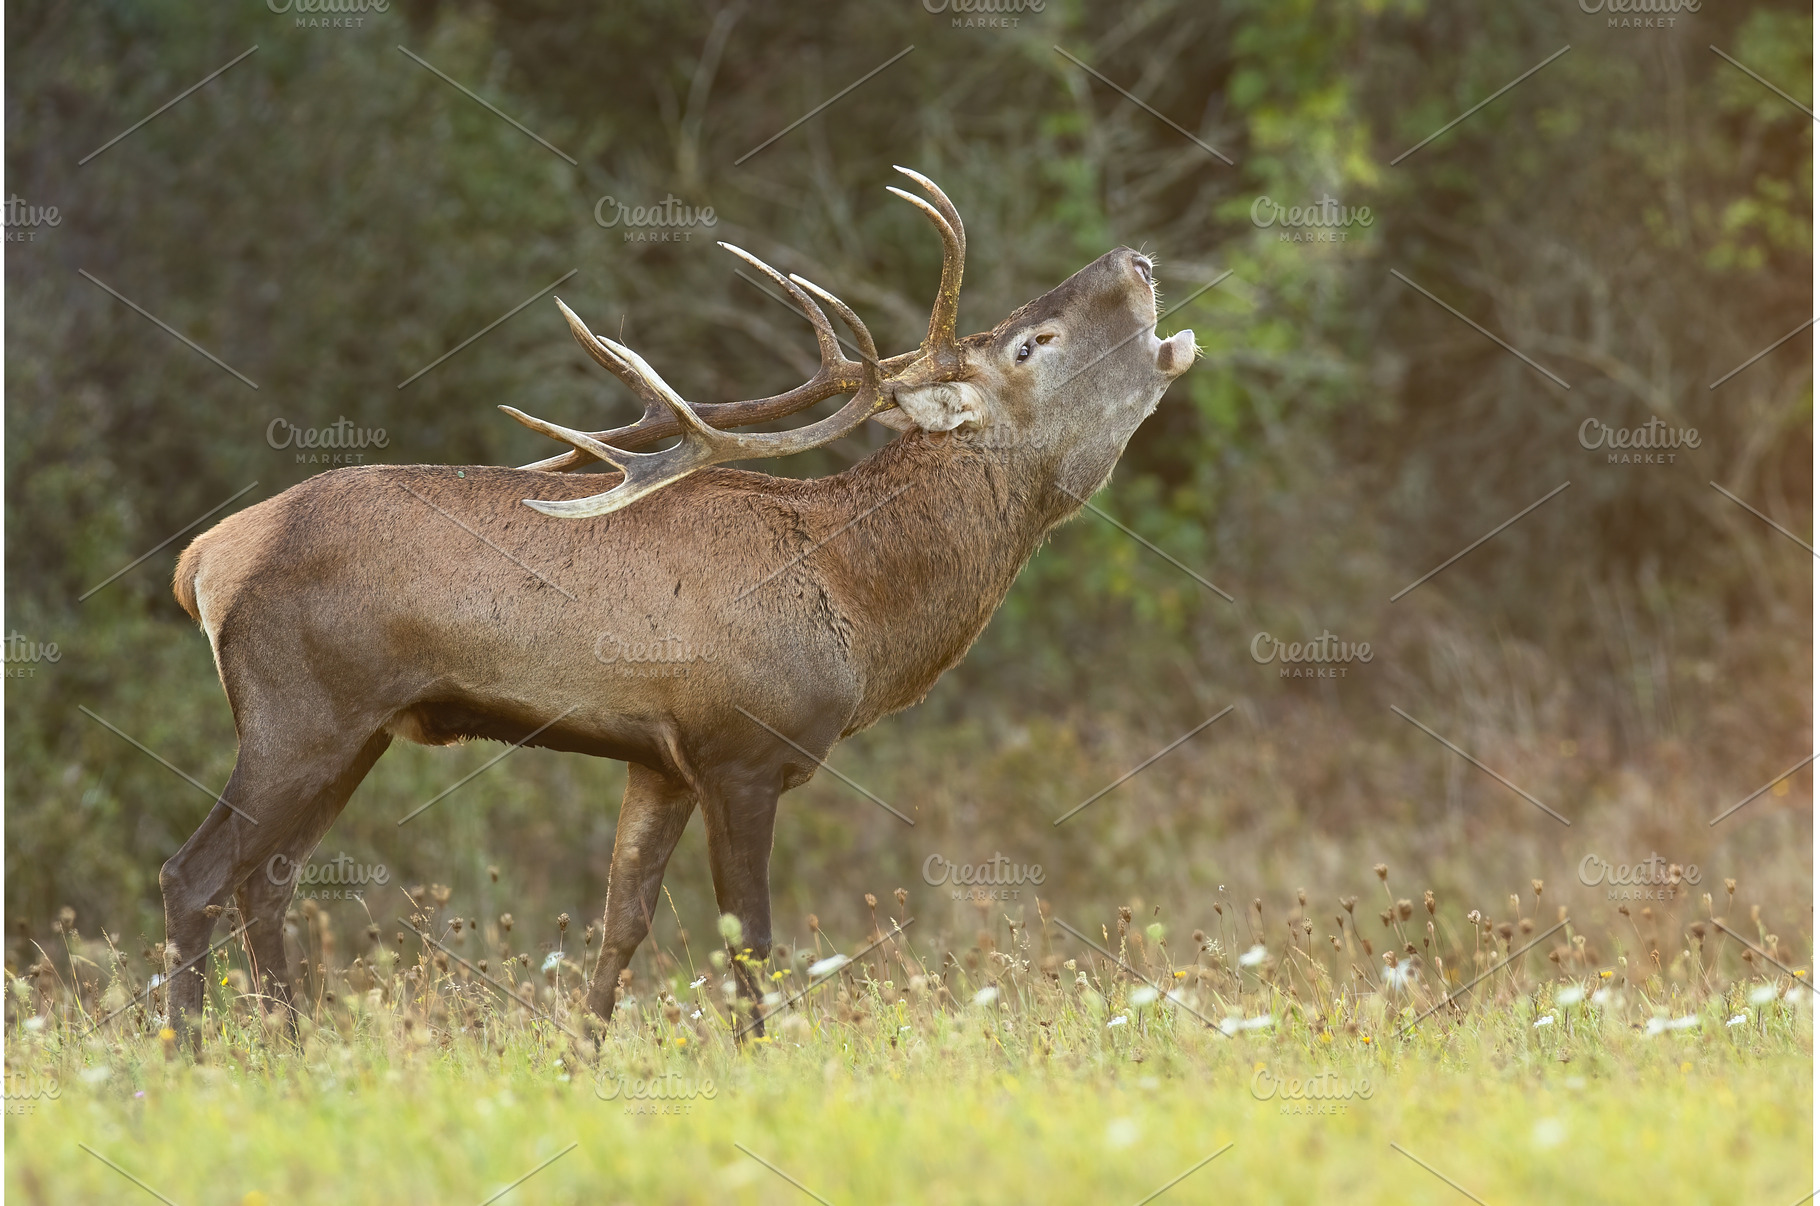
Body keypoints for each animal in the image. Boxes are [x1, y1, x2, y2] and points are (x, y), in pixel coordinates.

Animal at [161, 169, 1198, 1038]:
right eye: (1032, 343)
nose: (1136, 258)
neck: (860, 602)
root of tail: (204, 558)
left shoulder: (657, 760)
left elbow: (621, 925)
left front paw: (580, 1058)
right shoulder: (739, 746)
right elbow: (752, 944)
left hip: (358, 730)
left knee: (269, 884)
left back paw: (292, 1050)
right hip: (299, 711)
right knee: (195, 875)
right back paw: (188, 1057)